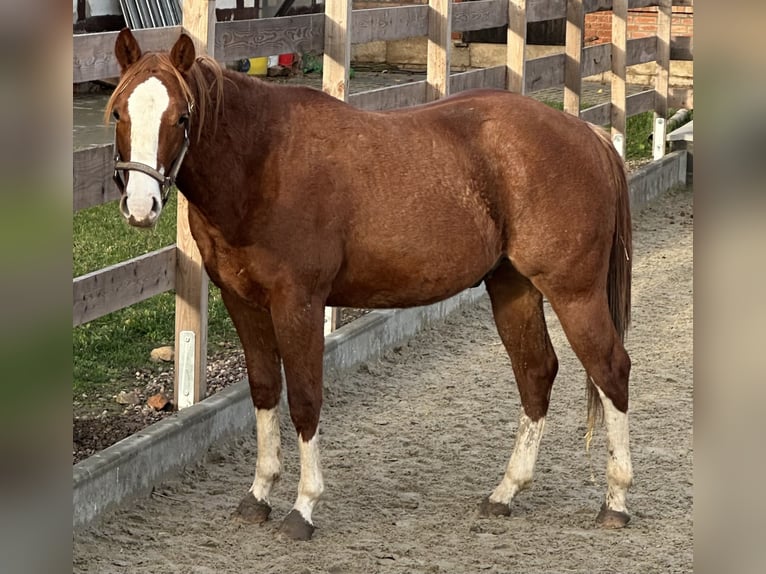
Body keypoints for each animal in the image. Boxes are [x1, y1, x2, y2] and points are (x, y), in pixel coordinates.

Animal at [109, 29, 636, 544]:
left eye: (181, 116)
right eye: (118, 113)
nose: (140, 205)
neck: (262, 162)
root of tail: (586, 135)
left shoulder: (299, 303)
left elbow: (305, 399)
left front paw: (303, 507)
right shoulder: (242, 303)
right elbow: (264, 391)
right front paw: (258, 495)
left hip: (574, 293)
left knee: (610, 370)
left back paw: (616, 501)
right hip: (513, 286)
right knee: (536, 372)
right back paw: (506, 492)